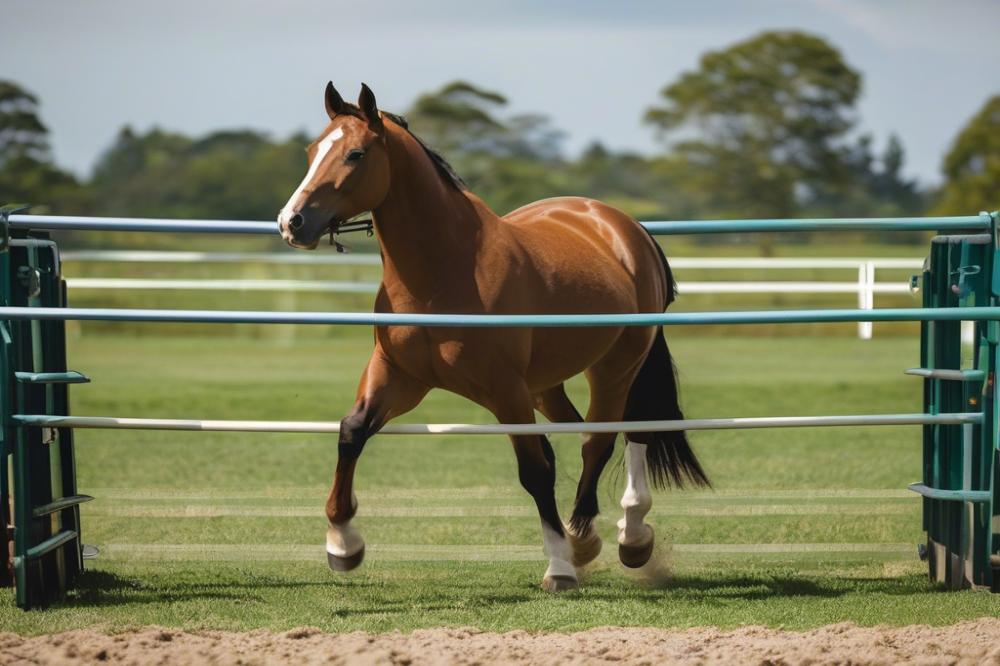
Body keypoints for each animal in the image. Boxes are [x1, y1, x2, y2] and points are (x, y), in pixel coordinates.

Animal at [278, 83, 708, 592]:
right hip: (546, 385)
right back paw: (601, 535)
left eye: (356, 154)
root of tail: (625, 226)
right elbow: (352, 432)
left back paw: (618, 536)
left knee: (610, 436)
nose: (291, 222)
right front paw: (343, 544)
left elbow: (536, 471)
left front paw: (559, 567)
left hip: (617, 366)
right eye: (312, 150)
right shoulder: (399, 376)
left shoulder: (505, 391)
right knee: (587, 432)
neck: (446, 269)